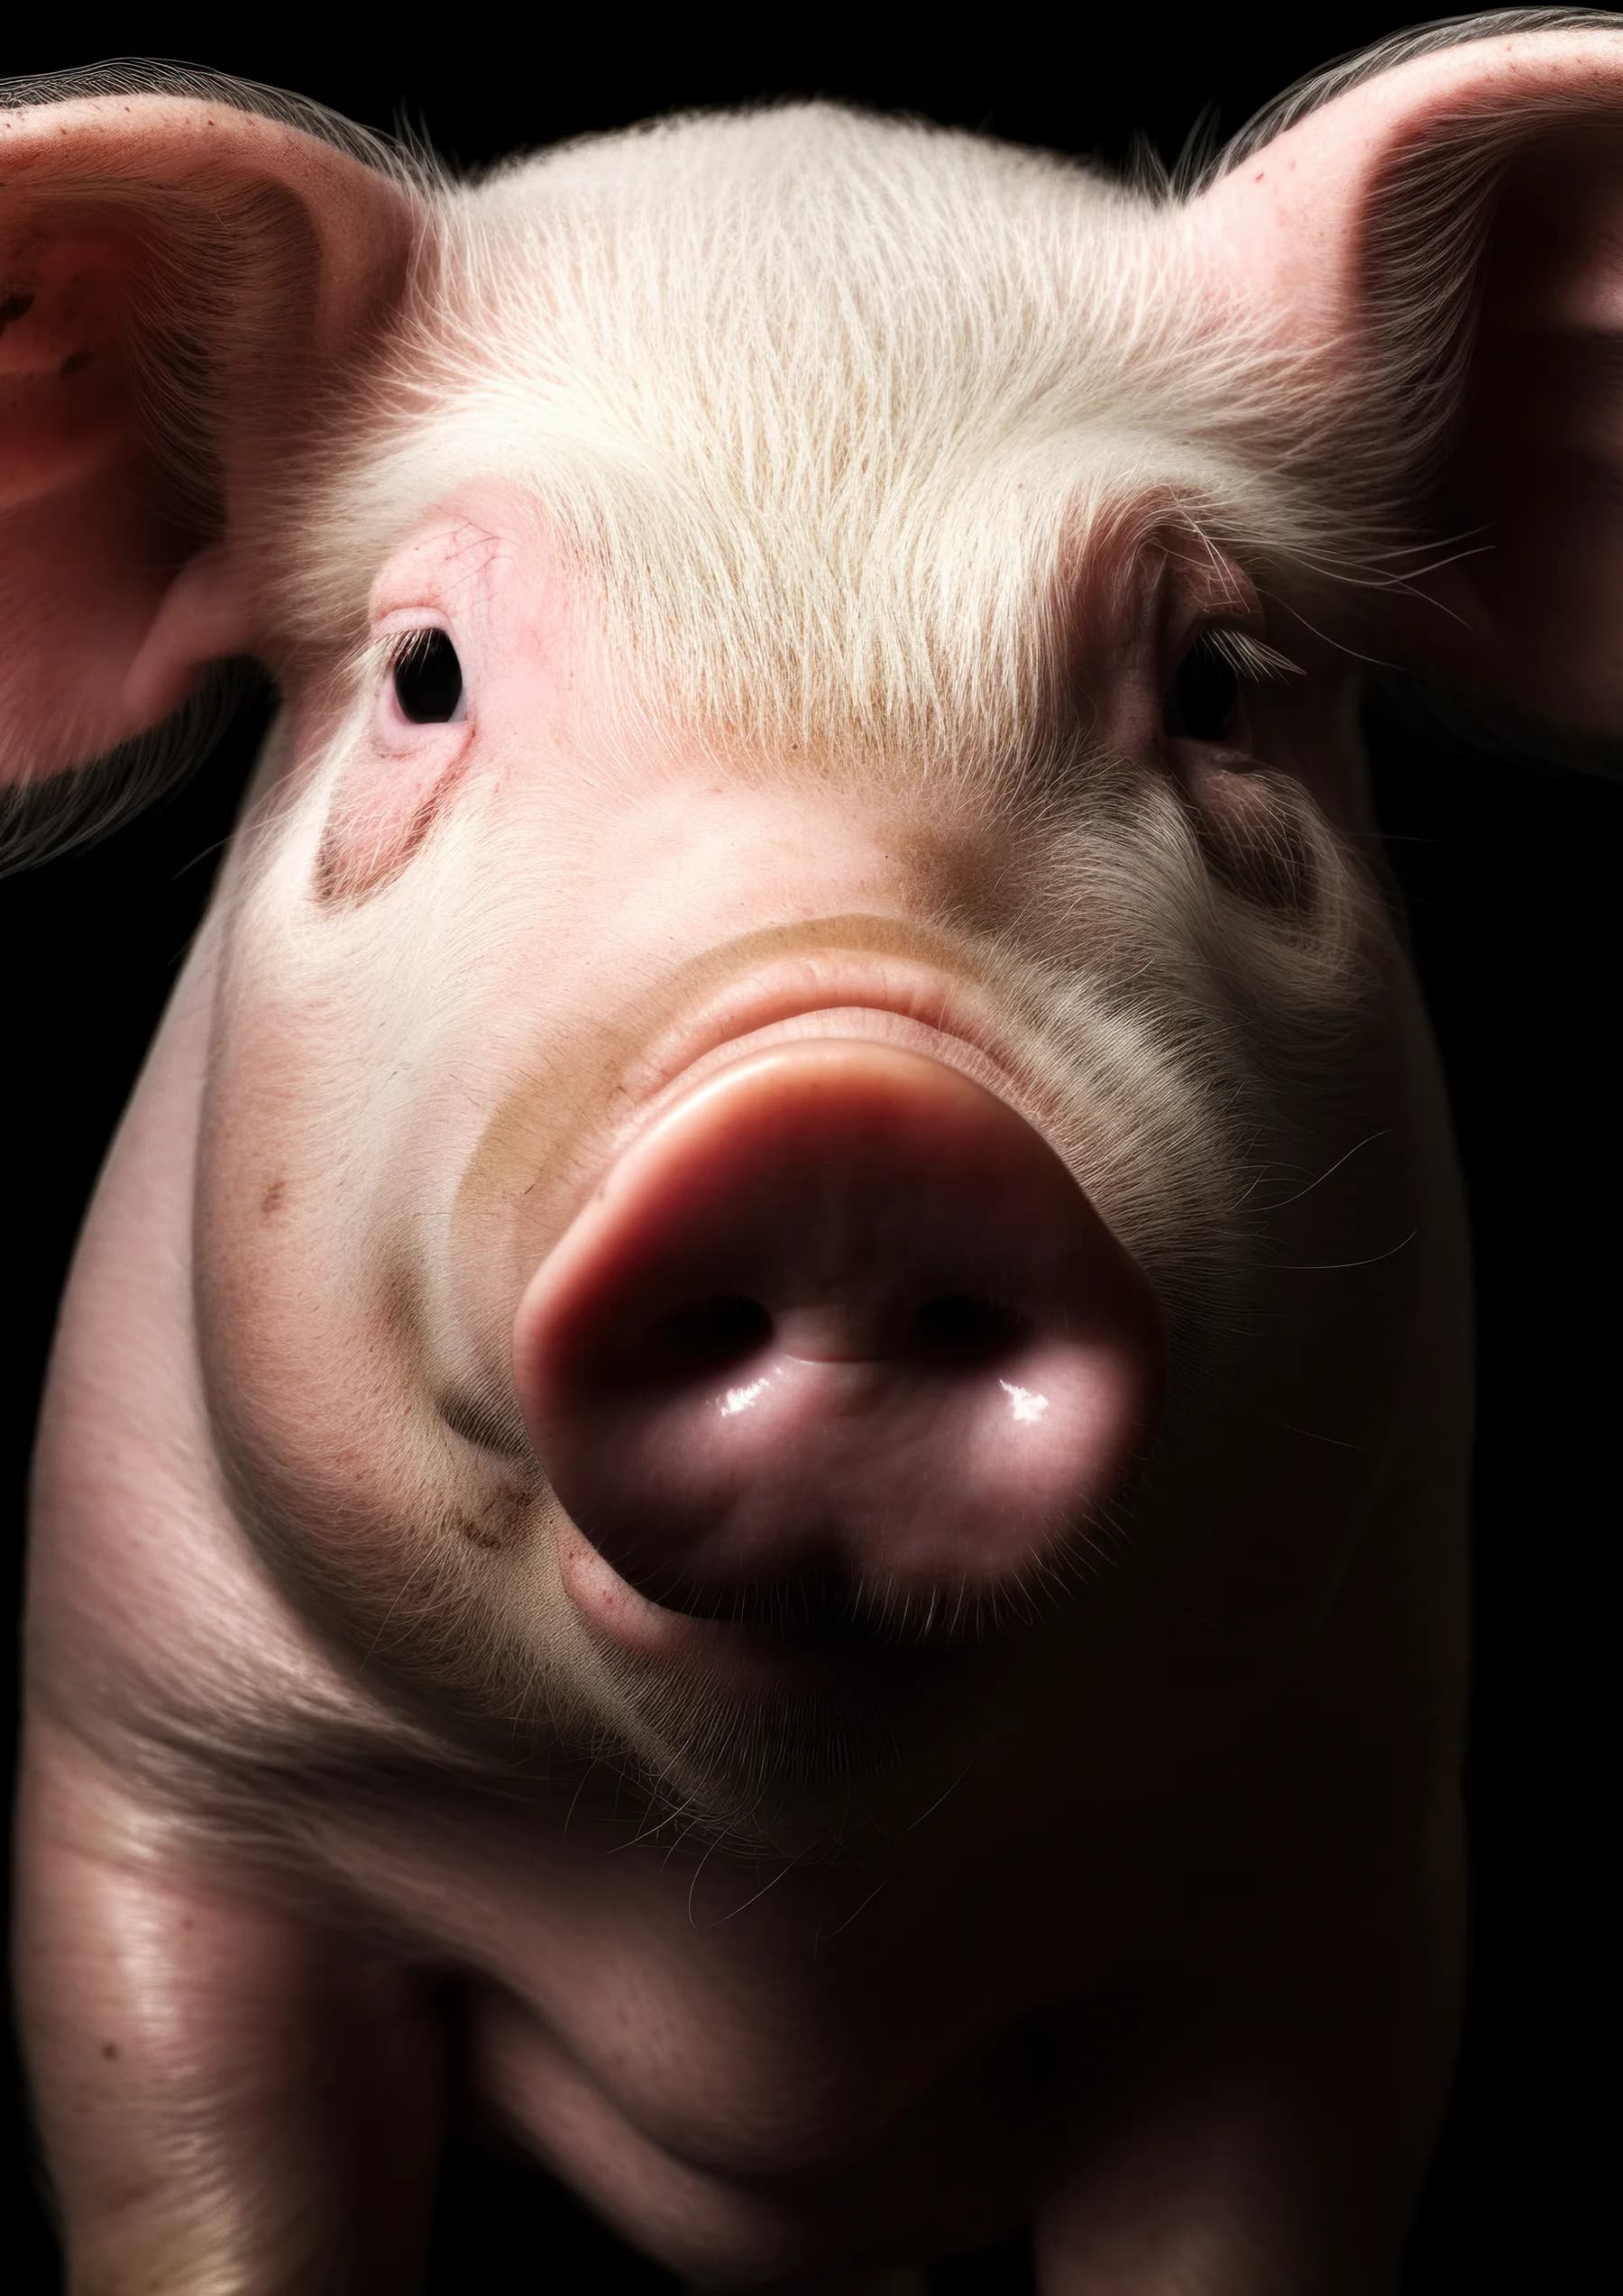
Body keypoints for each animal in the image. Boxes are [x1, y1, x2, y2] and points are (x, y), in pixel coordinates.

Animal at [6, 14, 1620, 2292]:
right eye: (425, 674)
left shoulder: (1323, 1859)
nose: (847, 1123)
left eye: (1217, 684)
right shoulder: (158, 1790)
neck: (766, 1974)